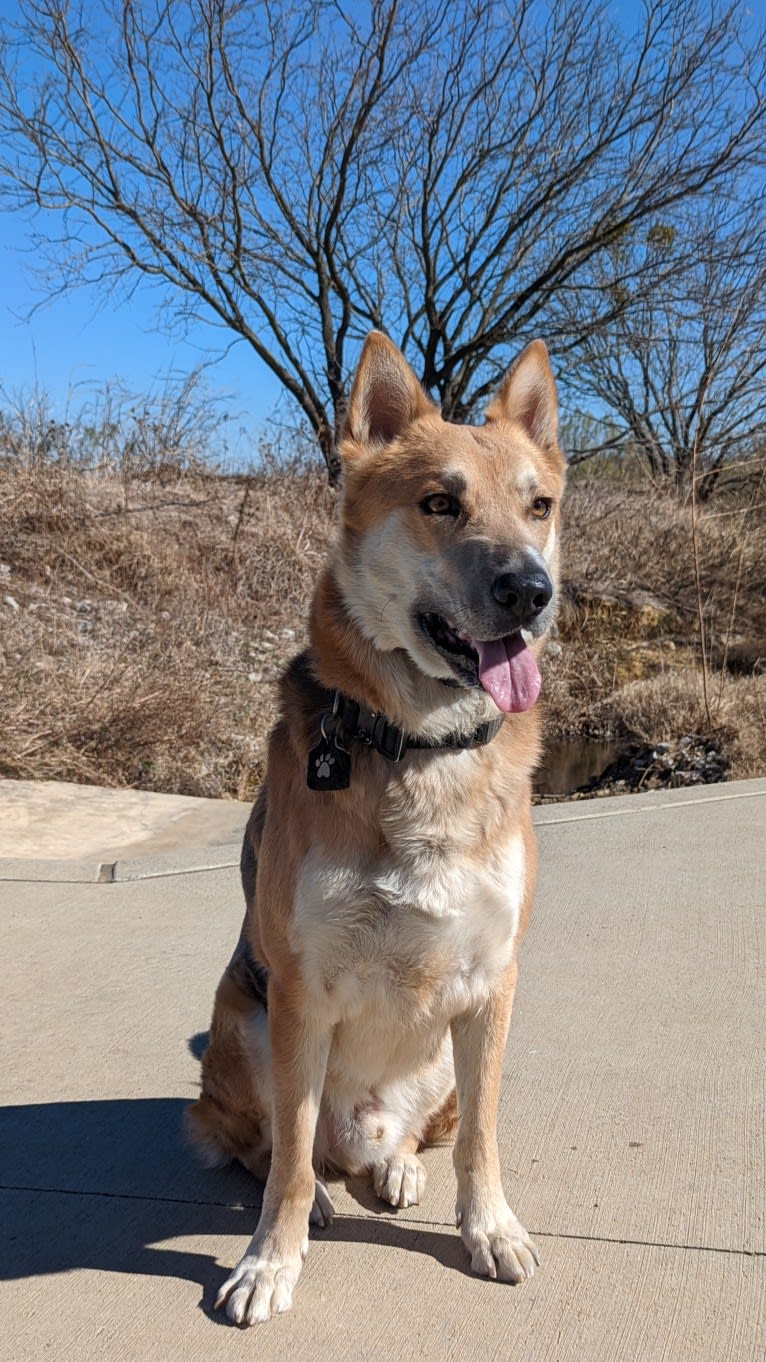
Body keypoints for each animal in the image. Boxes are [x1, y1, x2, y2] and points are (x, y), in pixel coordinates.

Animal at [188, 329, 564, 1318]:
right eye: (440, 503)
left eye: (539, 506)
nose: (531, 591)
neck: (422, 744)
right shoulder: (300, 991)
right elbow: (281, 1165)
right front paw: (268, 1261)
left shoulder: (493, 984)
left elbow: (480, 1138)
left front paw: (489, 1228)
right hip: (249, 1022)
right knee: (276, 1145)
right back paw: (320, 1194)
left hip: (432, 1060)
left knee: (403, 1137)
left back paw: (393, 1169)